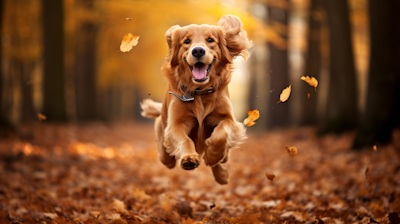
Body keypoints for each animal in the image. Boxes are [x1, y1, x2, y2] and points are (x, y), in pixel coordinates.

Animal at [141, 14, 252, 185]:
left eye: (210, 39)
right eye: (187, 41)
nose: (198, 50)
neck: (200, 92)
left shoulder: (228, 118)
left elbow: (221, 134)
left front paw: (212, 155)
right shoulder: (176, 124)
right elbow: (184, 140)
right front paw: (189, 158)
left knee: (224, 157)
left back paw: (221, 173)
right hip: (163, 146)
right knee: (167, 158)